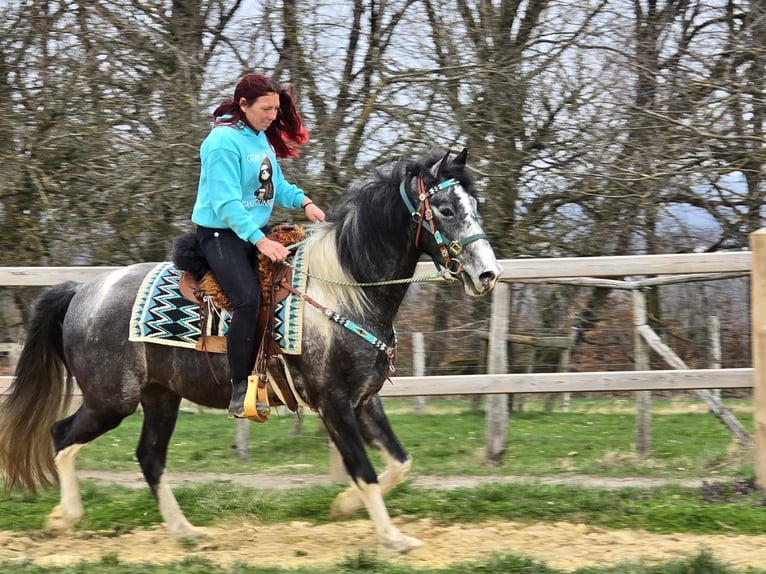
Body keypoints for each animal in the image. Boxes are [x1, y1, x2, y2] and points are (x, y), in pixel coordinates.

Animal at [0, 148, 500, 552]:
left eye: (475, 205)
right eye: (446, 208)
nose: (487, 274)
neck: (345, 290)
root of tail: (81, 291)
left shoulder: (363, 400)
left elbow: (399, 464)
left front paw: (342, 507)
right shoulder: (333, 402)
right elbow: (365, 469)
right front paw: (393, 538)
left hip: (160, 397)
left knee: (149, 457)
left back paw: (186, 533)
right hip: (110, 400)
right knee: (62, 436)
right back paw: (63, 518)